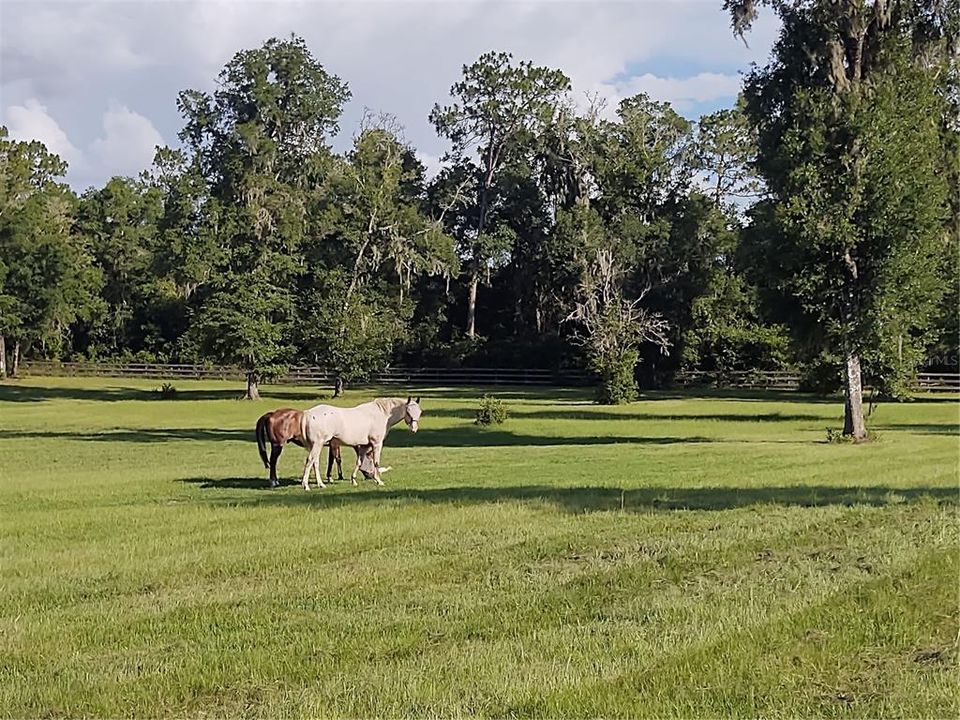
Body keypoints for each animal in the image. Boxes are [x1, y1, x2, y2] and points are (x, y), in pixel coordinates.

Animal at [258, 408, 390, 486]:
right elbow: (336, 460)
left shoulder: (332, 445)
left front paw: (331, 477)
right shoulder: (334, 445)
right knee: (273, 462)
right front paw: (334, 477)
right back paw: (274, 481)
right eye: (370, 459)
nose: (370, 476)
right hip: (277, 445)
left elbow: (333, 459)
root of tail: (271, 414)